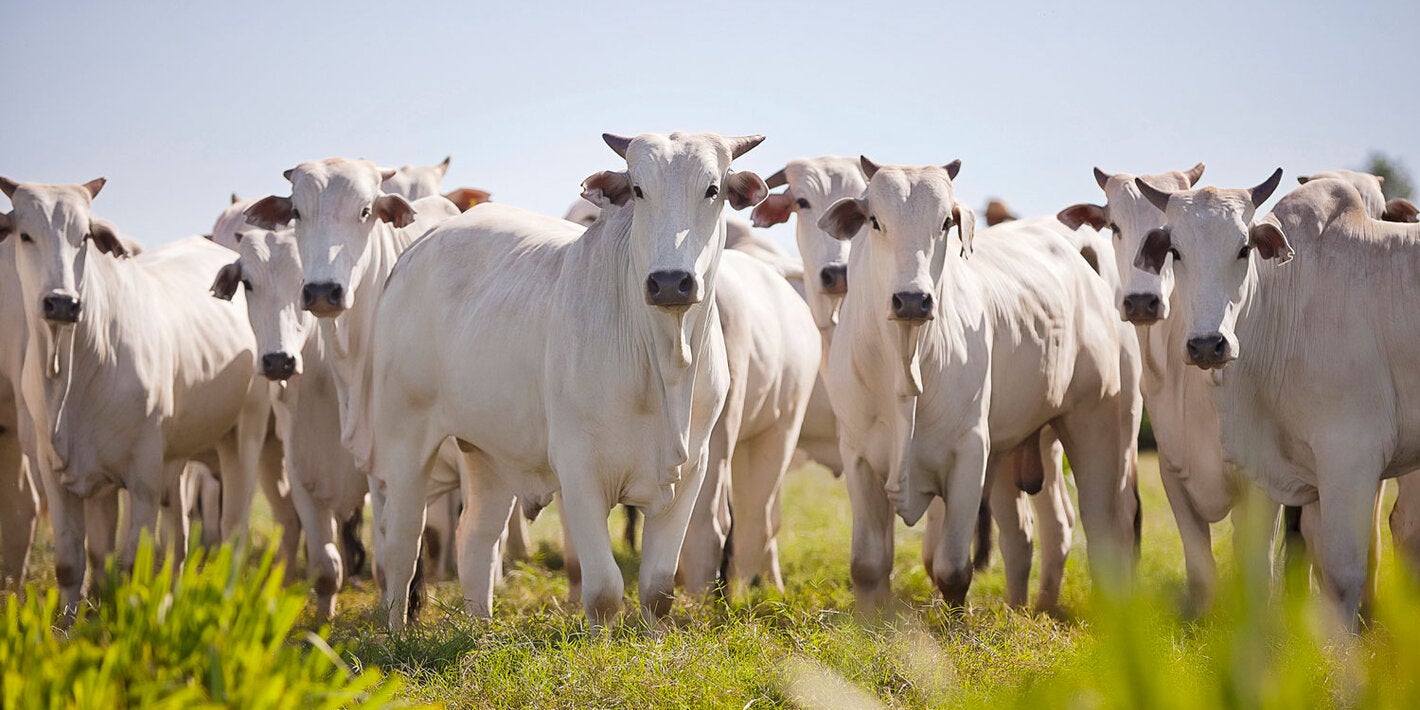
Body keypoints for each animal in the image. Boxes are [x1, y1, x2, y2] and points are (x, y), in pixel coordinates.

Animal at [0, 177, 269, 614]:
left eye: (84, 236)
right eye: (25, 235)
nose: (62, 302)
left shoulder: (142, 476)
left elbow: (130, 564)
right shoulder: (58, 473)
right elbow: (77, 563)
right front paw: (70, 623)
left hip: (244, 432)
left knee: (233, 528)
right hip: (175, 459)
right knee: (179, 538)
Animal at [360, 132, 766, 629]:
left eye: (712, 189)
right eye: (638, 190)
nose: (671, 282)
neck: (664, 364)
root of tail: (420, 248)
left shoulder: (691, 472)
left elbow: (657, 591)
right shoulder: (579, 469)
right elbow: (604, 591)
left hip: (488, 452)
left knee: (475, 538)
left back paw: (482, 630)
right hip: (405, 439)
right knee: (401, 543)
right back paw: (396, 632)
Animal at [818, 159, 1139, 611]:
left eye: (944, 223)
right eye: (875, 221)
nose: (913, 300)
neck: (905, 364)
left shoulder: (970, 453)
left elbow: (952, 569)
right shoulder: (858, 455)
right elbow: (867, 565)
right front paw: (869, 620)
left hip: (1099, 424)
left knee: (1104, 528)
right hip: (1018, 448)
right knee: (1031, 533)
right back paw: (1028, 608)